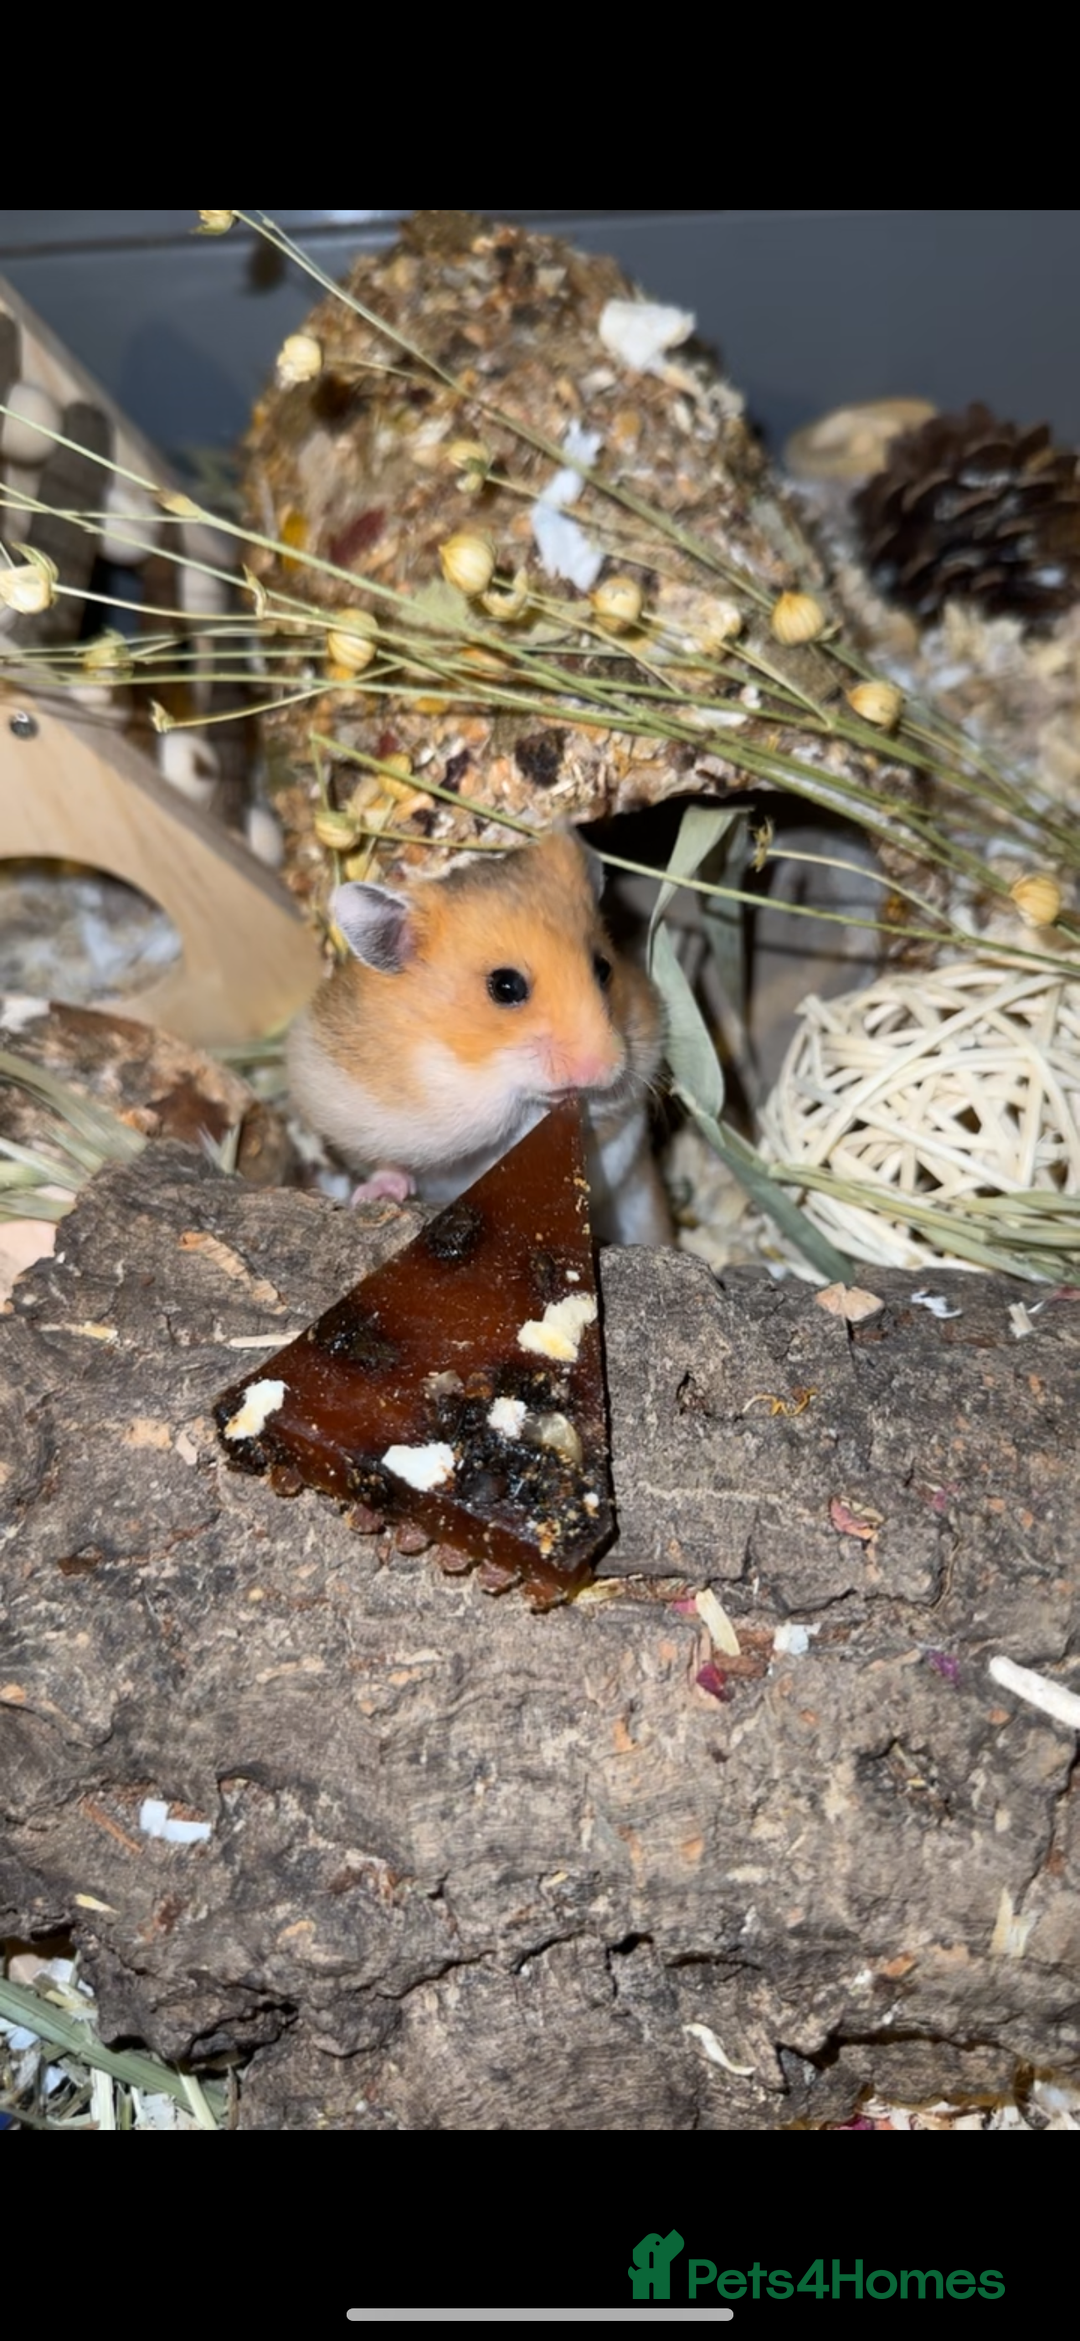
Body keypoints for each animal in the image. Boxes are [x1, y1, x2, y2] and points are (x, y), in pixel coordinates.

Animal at [287, 826, 671, 1245]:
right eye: (505, 986)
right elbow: (387, 1160)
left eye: (604, 969)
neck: (478, 1066)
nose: (598, 1070)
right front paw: (375, 1194)